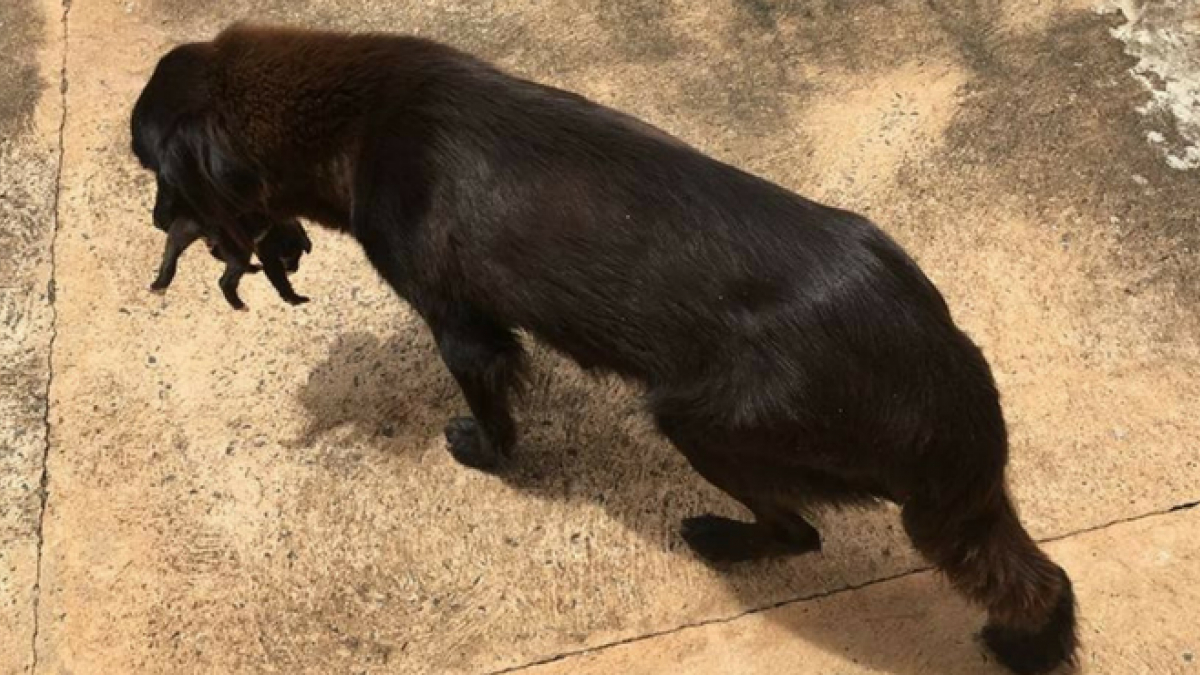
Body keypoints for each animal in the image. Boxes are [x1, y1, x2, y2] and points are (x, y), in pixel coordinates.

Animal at [129, 23, 1080, 667]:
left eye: (150, 168)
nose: (157, 228)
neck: (358, 118)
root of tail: (955, 395)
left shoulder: (463, 327)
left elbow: (492, 412)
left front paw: (484, 453)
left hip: (708, 424)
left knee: (800, 532)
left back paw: (718, 538)